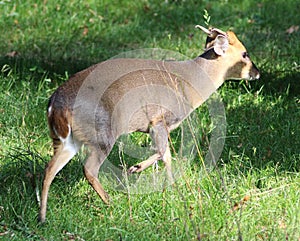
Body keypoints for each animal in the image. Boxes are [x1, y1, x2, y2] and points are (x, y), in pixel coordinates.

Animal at [38, 25, 258, 222]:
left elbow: (164, 154)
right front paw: (155, 180)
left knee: (50, 168)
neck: (190, 84)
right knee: (89, 169)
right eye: (245, 53)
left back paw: (42, 216)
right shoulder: (159, 119)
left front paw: (156, 180)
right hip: (103, 132)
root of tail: (56, 105)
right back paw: (111, 204)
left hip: (65, 139)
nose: (257, 73)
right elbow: (164, 153)